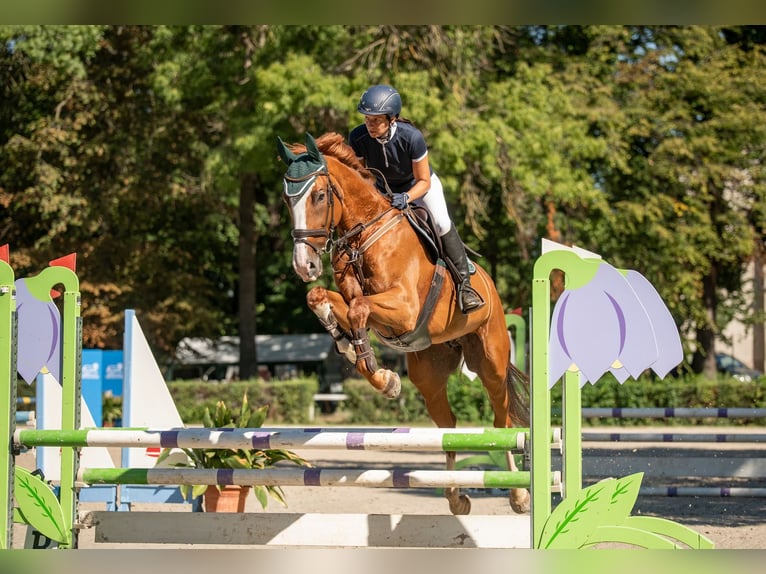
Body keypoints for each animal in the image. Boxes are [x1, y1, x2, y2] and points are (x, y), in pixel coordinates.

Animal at [277, 131, 530, 515]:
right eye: (287, 198)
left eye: (319, 195)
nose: (303, 265)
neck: (363, 235)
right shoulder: (363, 305)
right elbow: (321, 299)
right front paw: (363, 358)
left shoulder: (405, 308)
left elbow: (358, 310)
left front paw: (376, 370)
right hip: (429, 375)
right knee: (449, 427)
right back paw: (456, 497)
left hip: (490, 363)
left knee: (502, 422)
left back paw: (518, 496)